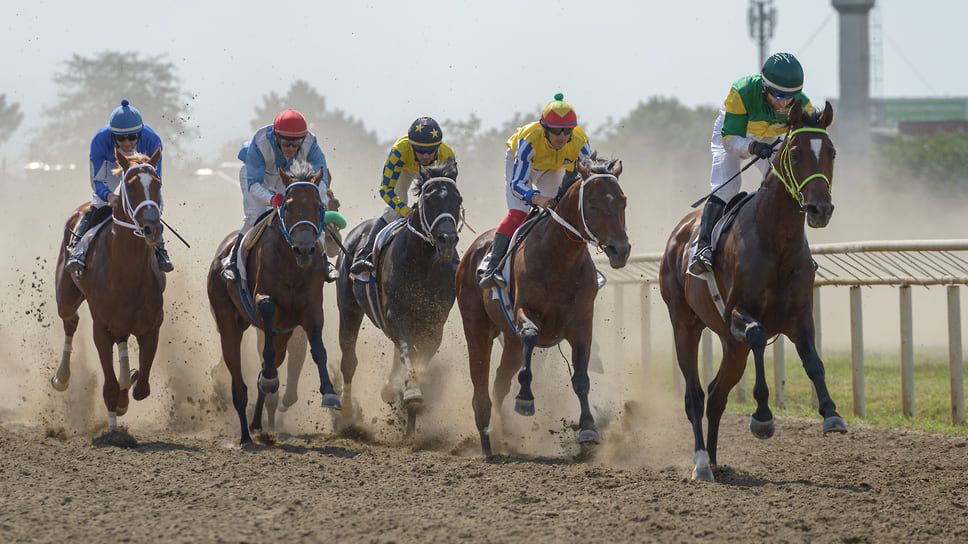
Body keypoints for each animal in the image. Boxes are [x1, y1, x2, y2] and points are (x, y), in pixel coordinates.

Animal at [52, 148, 166, 430]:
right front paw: (114, 427)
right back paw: (62, 378)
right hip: (65, 298)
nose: (152, 228)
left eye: (157, 184)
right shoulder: (100, 328)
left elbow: (142, 387)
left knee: (122, 340)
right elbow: (111, 386)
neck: (126, 272)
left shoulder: (152, 327)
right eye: (130, 186)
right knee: (70, 322)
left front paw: (128, 387)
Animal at [206, 159, 342, 444]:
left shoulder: (310, 309)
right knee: (238, 378)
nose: (305, 249)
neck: (292, 264)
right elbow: (267, 311)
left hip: (282, 333)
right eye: (287, 205)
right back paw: (245, 435)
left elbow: (318, 349)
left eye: (319, 206)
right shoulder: (264, 301)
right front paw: (269, 378)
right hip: (228, 323)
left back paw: (257, 422)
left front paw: (330, 393)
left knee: (267, 367)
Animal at [336, 159, 462, 436]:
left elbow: (421, 356)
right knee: (348, 360)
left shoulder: (434, 324)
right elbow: (408, 350)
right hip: (348, 309)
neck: (422, 265)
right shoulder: (393, 315)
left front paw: (408, 403)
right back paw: (347, 412)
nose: (447, 240)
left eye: (457, 199)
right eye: (428, 199)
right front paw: (411, 392)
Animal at [454, 153, 628, 454]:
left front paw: (588, 428)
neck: (559, 259)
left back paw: (501, 431)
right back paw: (486, 436)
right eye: (593, 204)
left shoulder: (582, 323)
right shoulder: (524, 311)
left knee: (500, 381)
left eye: (623, 201)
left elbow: (581, 378)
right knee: (480, 378)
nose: (621, 250)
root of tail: (471, 252)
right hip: (477, 327)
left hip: (510, 342)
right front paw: (525, 398)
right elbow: (531, 335)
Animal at [656, 100, 848, 482]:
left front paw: (831, 413)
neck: (777, 240)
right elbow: (759, 335)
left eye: (831, 152)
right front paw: (762, 416)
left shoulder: (799, 316)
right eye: (796, 153)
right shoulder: (737, 315)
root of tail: (678, 234)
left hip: (732, 346)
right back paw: (701, 462)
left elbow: (814, 361)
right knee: (694, 395)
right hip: (685, 324)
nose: (820, 209)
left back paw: (715, 459)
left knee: (716, 393)